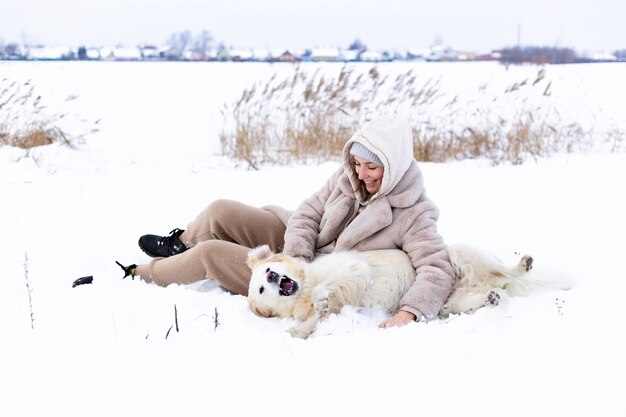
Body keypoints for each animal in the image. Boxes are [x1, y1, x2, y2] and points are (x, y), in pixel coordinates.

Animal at [246, 244, 568, 338]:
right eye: (261, 288)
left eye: (268, 269)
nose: (273, 276)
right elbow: (309, 322)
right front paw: (297, 330)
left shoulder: (354, 268)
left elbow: (329, 288)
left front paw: (321, 298)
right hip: (452, 303)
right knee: (488, 295)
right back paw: (492, 298)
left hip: (463, 255)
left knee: (505, 273)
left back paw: (522, 265)